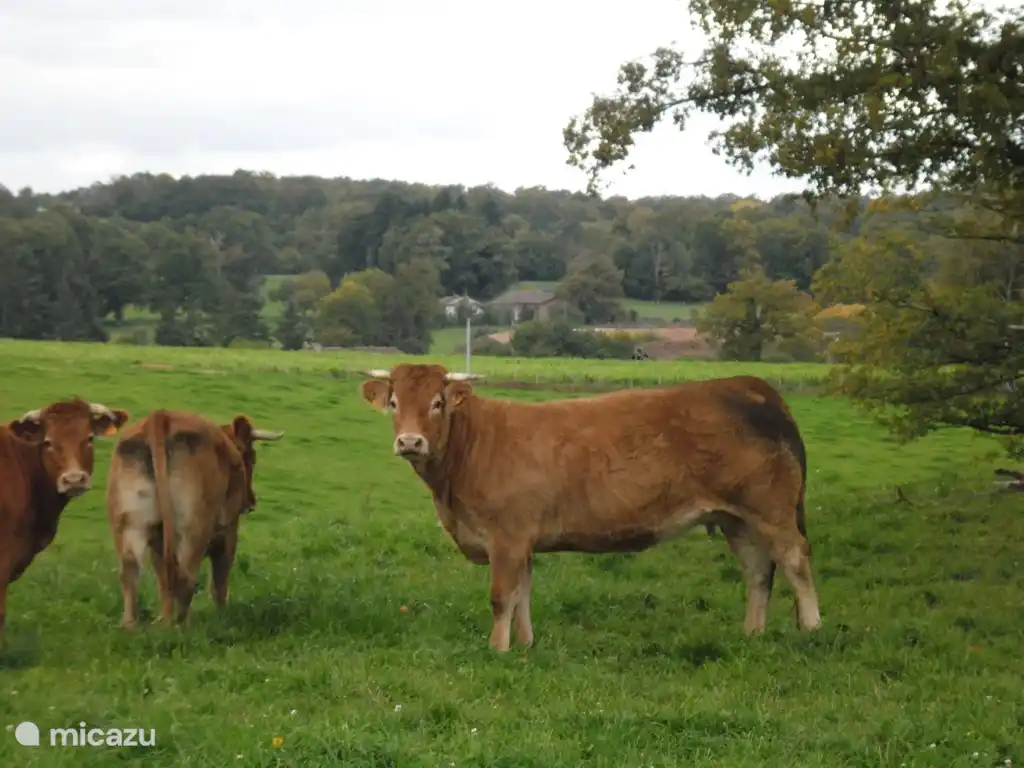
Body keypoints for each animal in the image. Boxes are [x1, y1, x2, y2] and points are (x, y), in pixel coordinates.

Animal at [105, 409, 283, 629]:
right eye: (252, 458)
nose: (251, 501)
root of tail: (160, 416)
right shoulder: (229, 530)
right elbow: (219, 579)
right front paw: (222, 618)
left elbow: (163, 580)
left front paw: (162, 619)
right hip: (194, 529)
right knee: (185, 577)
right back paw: (181, 625)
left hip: (130, 523)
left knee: (132, 572)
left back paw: (135, 625)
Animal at [359, 363, 820, 652]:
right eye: (395, 403)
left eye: (437, 403)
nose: (410, 441)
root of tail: (752, 385)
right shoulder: (523, 541)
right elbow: (523, 594)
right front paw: (525, 644)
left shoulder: (507, 537)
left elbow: (502, 596)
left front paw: (497, 649)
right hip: (737, 520)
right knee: (758, 572)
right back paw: (752, 635)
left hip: (771, 511)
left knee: (795, 560)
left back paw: (812, 630)